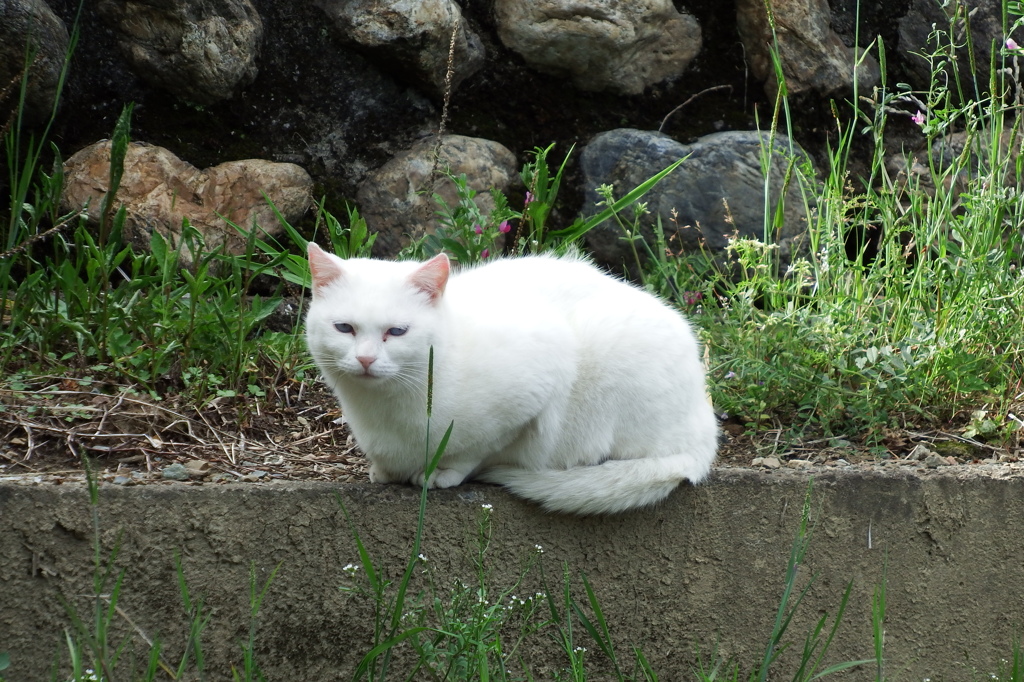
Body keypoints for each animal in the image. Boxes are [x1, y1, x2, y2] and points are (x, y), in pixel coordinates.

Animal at [305, 241, 720, 512]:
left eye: (397, 332)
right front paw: (385, 471)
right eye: (344, 328)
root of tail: (705, 423)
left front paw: (443, 472)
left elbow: (478, 450)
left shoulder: (533, 390)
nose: (365, 359)